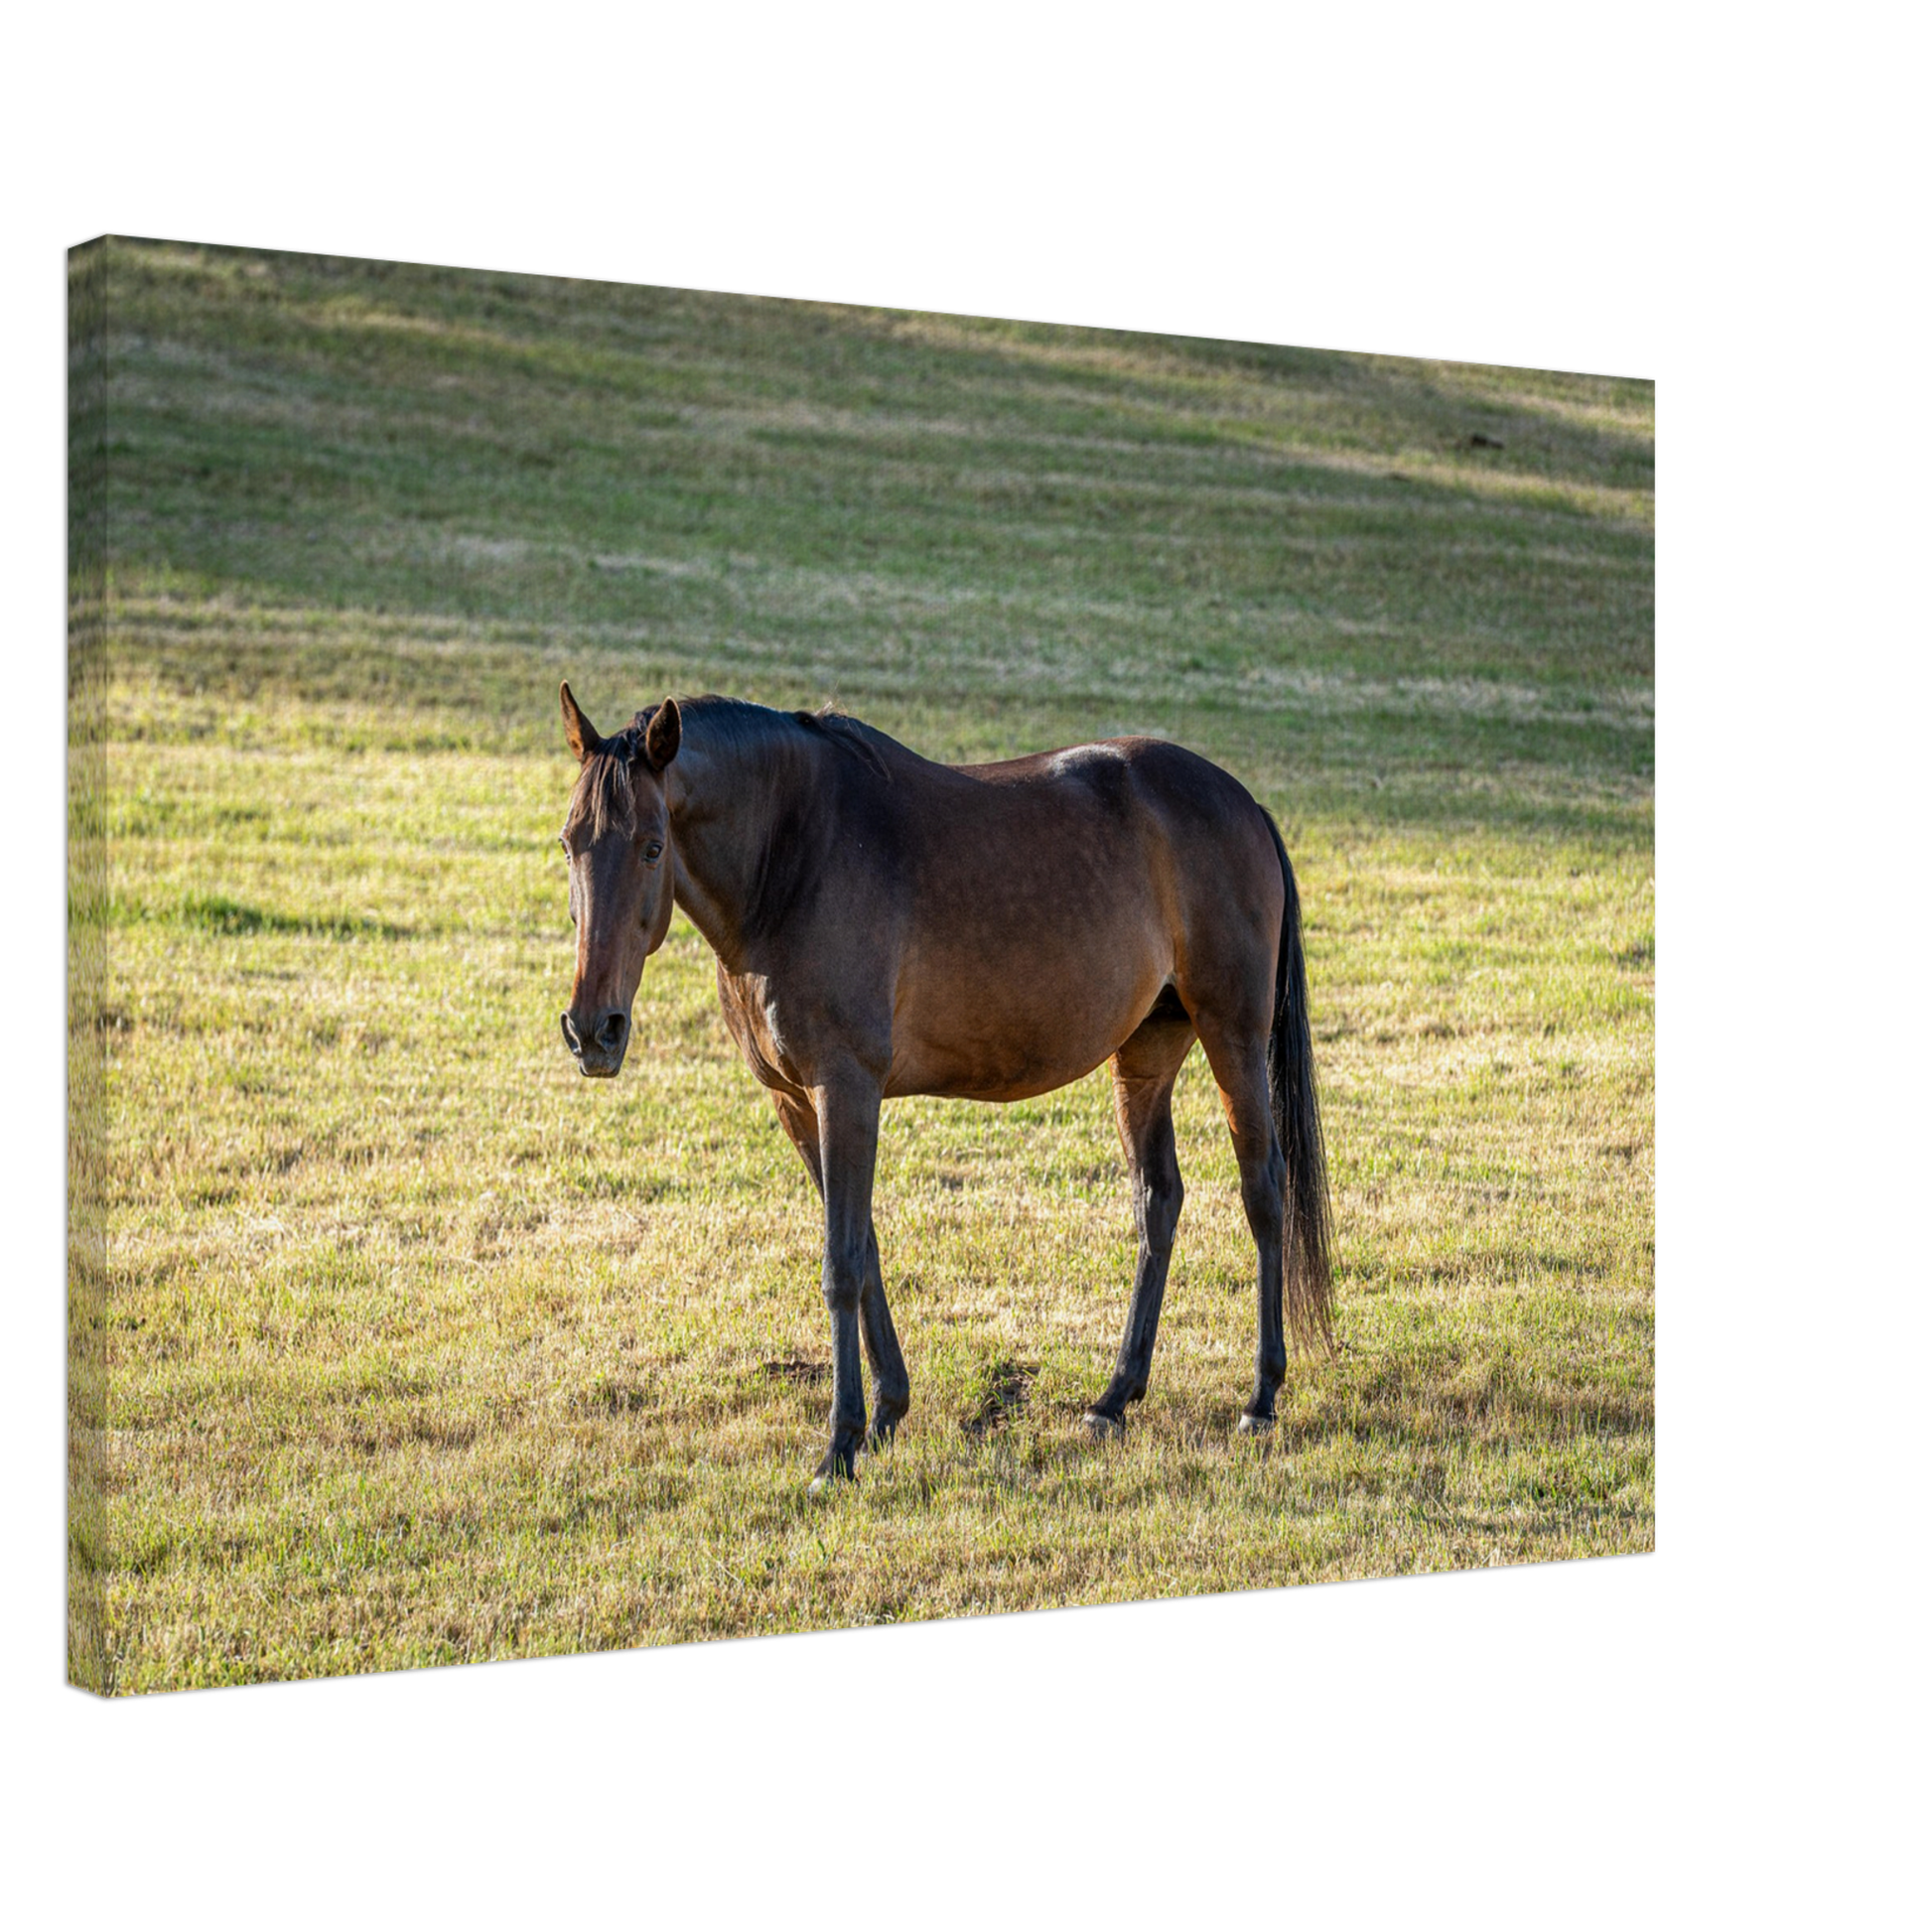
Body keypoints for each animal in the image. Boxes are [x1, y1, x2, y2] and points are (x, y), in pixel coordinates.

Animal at [556, 687, 1328, 1483]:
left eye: (652, 845)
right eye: (568, 844)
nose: (592, 1031)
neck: (795, 857)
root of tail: (1244, 803)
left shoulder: (846, 1090)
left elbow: (840, 1264)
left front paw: (839, 1445)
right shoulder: (798, 1102)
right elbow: (862, 1247)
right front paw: (886, 1412)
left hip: (1233, 1035)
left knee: (1263, 1191)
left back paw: (1261, 1395)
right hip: (1145, 1053)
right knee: (1159, 1199)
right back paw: (1115, 1397)